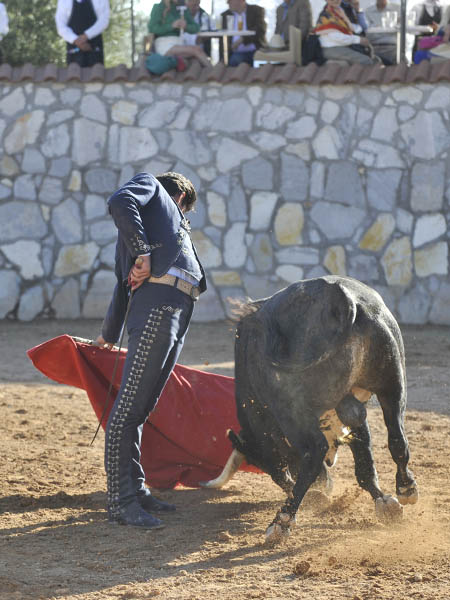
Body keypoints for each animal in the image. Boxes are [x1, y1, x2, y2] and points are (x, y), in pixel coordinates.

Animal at [202, 276, 420, 544]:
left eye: (264, 461)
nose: (322, 489)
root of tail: (336, 296)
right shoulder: (353, 409)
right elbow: (364, 459)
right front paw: (385, 503)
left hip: (292, 409)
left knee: (314, 451)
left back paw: (281, 522)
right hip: (393, 381)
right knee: (398, 439)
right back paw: (406, 488)